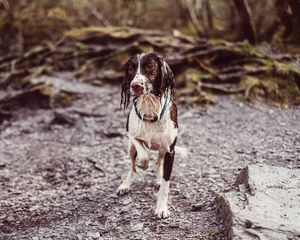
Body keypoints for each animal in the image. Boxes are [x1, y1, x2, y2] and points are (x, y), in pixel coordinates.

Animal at [116, 53, 185, 219]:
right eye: (131, 69)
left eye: (150, 68)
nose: (135, 86)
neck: (149, 108)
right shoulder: (131, 134)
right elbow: (142, 152)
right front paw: (144, 163)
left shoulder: (170, 151)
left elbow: (166, 183)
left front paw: (161, 208)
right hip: (130, 148)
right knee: (132, 167)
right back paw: (125, 184)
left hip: (162, 150)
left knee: (159, 162)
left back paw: (157, 178)